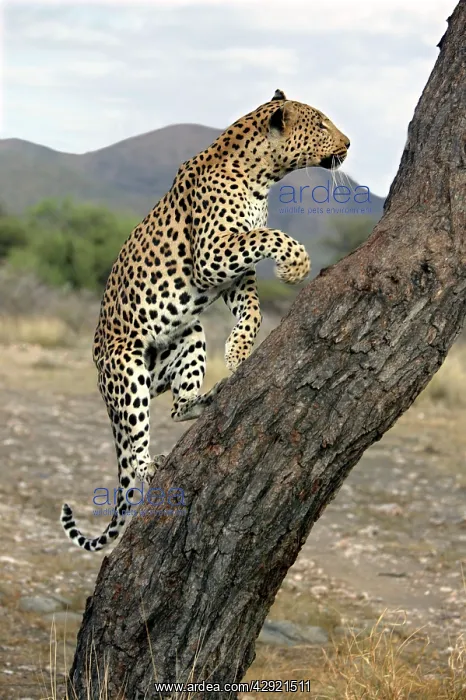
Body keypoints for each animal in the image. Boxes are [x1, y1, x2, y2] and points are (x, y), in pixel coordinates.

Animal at [60, 89, 350, 551]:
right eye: (321, 125)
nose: (350, 143)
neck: (261, 176)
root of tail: (100, 374)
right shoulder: (214, 253)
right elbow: (273, 236)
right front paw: (295, 266)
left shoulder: (232, 272)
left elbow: (252, 308)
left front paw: (238, 352)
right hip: (127, 371)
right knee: (136, 438)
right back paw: (150, 464)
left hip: (189, 336)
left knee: (177, 407)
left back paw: (208, 397)